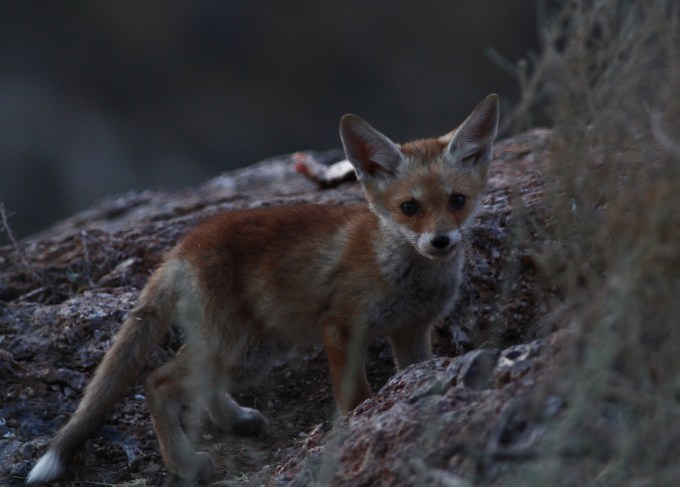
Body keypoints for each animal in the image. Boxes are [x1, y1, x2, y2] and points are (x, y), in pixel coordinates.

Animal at [26, 94, 499, 484]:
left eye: (457, 201)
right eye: (409, 208)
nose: (441, 241)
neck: (403, 274)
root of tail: (183, 245)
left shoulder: (411, 330)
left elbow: (411, 372)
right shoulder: (341, 326)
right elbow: (355, 397)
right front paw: (359, 428)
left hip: (248, 349)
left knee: (195, 380)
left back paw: (232, 420)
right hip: (242, 350)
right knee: (155, 381)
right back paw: (183, 463)